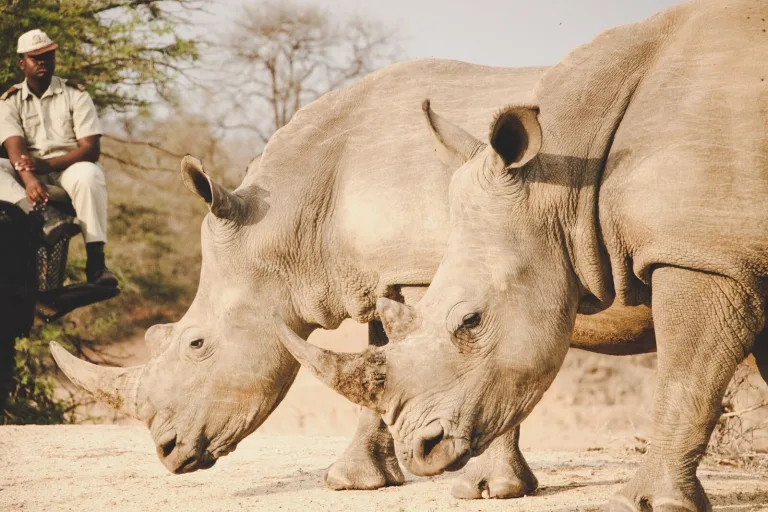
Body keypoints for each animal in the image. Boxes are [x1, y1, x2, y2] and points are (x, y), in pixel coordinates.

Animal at [51, 58, 654, 499]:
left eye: (196, 344)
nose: (166, 451)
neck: (292, 223)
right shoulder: (388, 274)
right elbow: (383, 353)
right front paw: (355, 481)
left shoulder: (450, 268)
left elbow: (479, 350)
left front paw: (487, 488)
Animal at [278, 1, 768, 509]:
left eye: (471, 321)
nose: (421, 451)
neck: (568, 177)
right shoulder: (737, 253)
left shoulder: (702, 254)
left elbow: (686, 376)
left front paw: (648, 503)